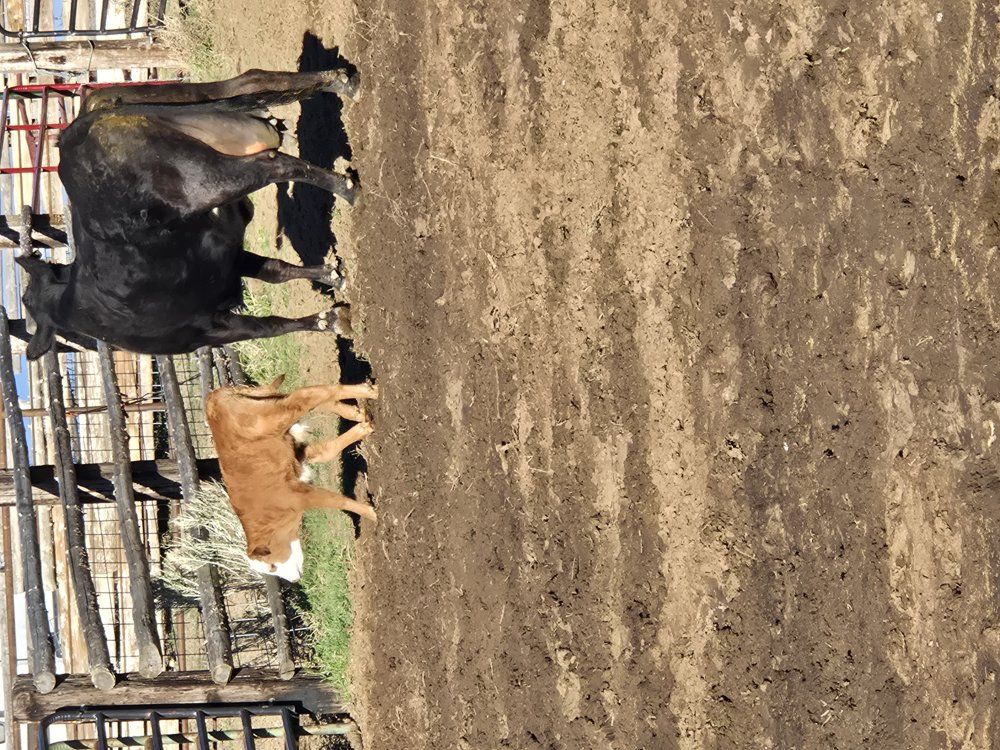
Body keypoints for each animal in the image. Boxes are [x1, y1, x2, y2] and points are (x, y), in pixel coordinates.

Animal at [17, 68, 362, 360]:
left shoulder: (207, 331)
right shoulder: (227, 257)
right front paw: (332, 278)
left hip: (203, 181)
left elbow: (268, 327)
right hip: (203, 107)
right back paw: (342, 81)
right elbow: (275, 272)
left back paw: (349, 189)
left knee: (274, 165)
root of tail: (81, 128)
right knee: (251, 82)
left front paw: (330, 319)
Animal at [205, 374, 378, 582]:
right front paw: (362, 429)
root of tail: (212, 397)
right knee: (304, 397)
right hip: (271, 405)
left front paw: (372, 514)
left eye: (272, 567)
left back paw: (370, 392)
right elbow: (326, 451)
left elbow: (336, 501)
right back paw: (356, 412)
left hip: (273, 417)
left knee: (304, 397)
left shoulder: (298, 495)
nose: (295, 580)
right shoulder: (297, 456)